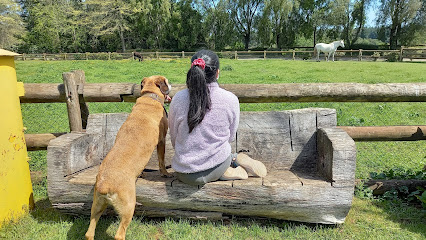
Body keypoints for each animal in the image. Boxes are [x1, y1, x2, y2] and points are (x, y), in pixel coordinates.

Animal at [85, 75, 171, 240]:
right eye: (167, 82)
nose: (171, 85)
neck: (150, 96)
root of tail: (105, 184)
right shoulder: (162, 141)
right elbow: (162, 160)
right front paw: (165, 173)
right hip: (128, 206)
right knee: (120, 234)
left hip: (97, 206)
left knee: (89, 232)